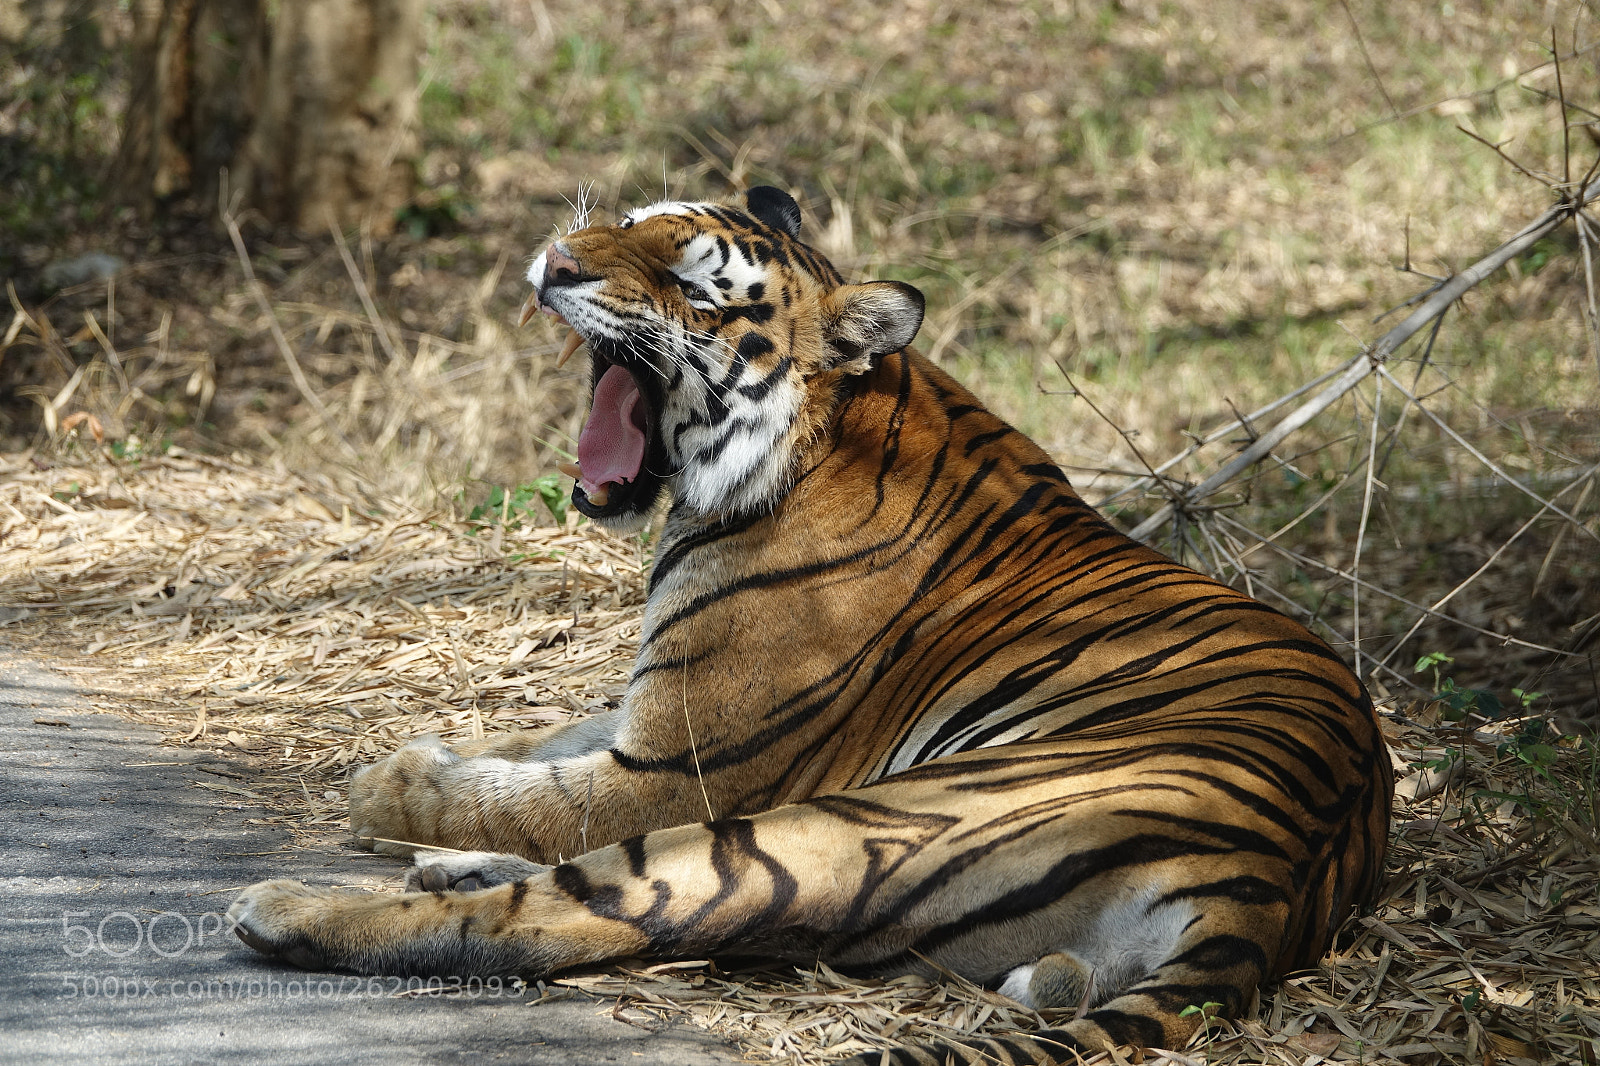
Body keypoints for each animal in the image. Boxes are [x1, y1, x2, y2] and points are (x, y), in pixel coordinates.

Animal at [229, 186, 1392, 1063]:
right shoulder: (647, 706)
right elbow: (532, 744)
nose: (555, 260)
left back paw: (293, 904)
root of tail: (1272, 877)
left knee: (560, 914)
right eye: (622, 224)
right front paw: (421, 768)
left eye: (690, 283)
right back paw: (430, 863)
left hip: (826, 823)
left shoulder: (680, 764)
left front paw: (385, 783)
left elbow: (528, 795)